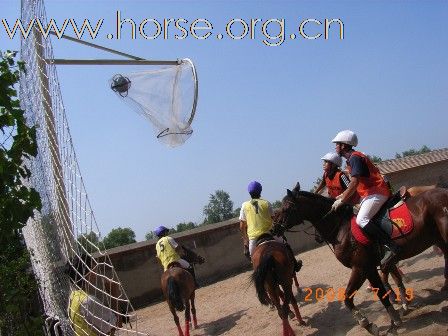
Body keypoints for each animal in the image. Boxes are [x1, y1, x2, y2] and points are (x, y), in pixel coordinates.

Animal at [276, 182, 448, 334]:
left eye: (287, 207)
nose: (275, 228)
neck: (341, 228)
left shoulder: (360, 267)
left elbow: (347, 298)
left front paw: (367, 324)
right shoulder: (370, 268)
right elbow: (381, 293)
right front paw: (394, 321)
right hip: (439, 239)